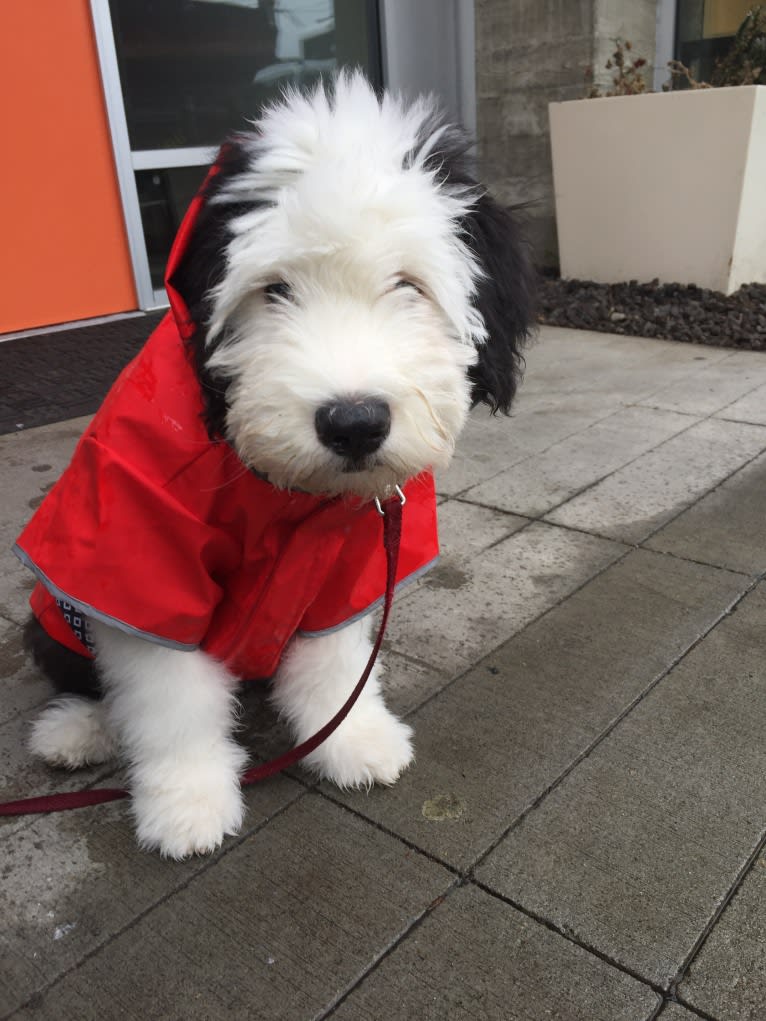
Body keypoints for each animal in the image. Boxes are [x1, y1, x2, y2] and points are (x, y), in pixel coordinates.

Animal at [12, 71, 535, 857]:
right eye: (275, 288)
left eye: (407, 285)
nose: (354, 422)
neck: (286, 493)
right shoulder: (144, 553)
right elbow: (166, 688)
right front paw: (187, 802)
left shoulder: (351, 560)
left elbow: (335, 663)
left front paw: (352, 741)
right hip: (59, 611)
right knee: (85, 672)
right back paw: (78, 730)